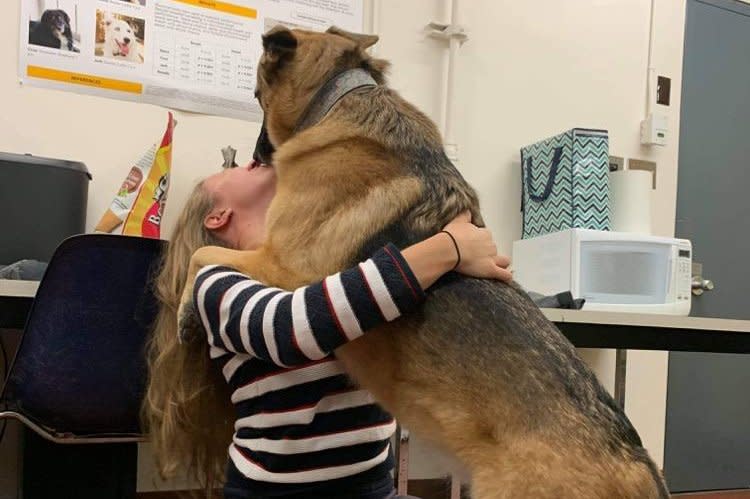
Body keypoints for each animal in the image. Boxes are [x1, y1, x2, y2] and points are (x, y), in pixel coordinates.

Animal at [179, 26, 672, 499]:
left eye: (256, 95)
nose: (251, 159)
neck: (337, 96)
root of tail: (639, 465)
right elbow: (203, 253)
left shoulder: (285, 268)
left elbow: (201, 253)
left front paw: (185, 312)